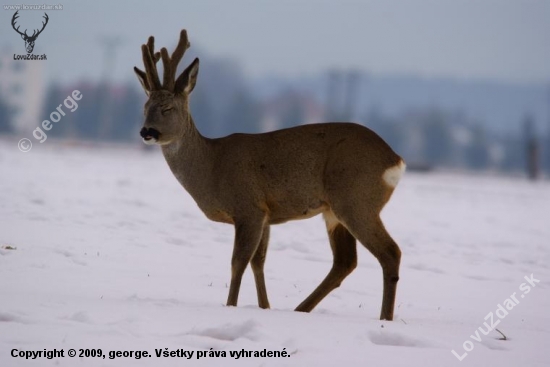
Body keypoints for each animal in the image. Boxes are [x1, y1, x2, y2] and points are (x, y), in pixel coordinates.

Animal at [135, 30, 408, 320]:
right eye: (145, 107)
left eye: (168, 108)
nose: (147, 131)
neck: (211, 167)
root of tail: (395, 159)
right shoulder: (266, 214)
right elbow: (259, 262)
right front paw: (265, 307)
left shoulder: (249, 208)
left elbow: (238, 262)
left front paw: (230, 306)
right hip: (334, 211)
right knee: (345, 261)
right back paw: (301, 309)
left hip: (355, 200)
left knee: (389, 252)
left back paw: (384, 318)